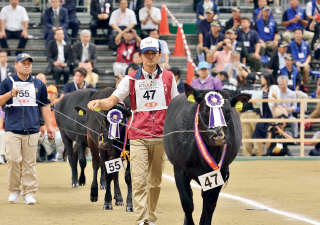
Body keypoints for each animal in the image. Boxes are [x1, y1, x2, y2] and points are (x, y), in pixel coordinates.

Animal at [164, 84, 251, 225]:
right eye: (205, 109)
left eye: (228, 111)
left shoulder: (221, 172)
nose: (219, 136)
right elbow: (187, 203)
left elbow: (210, 204)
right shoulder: (179, 170)